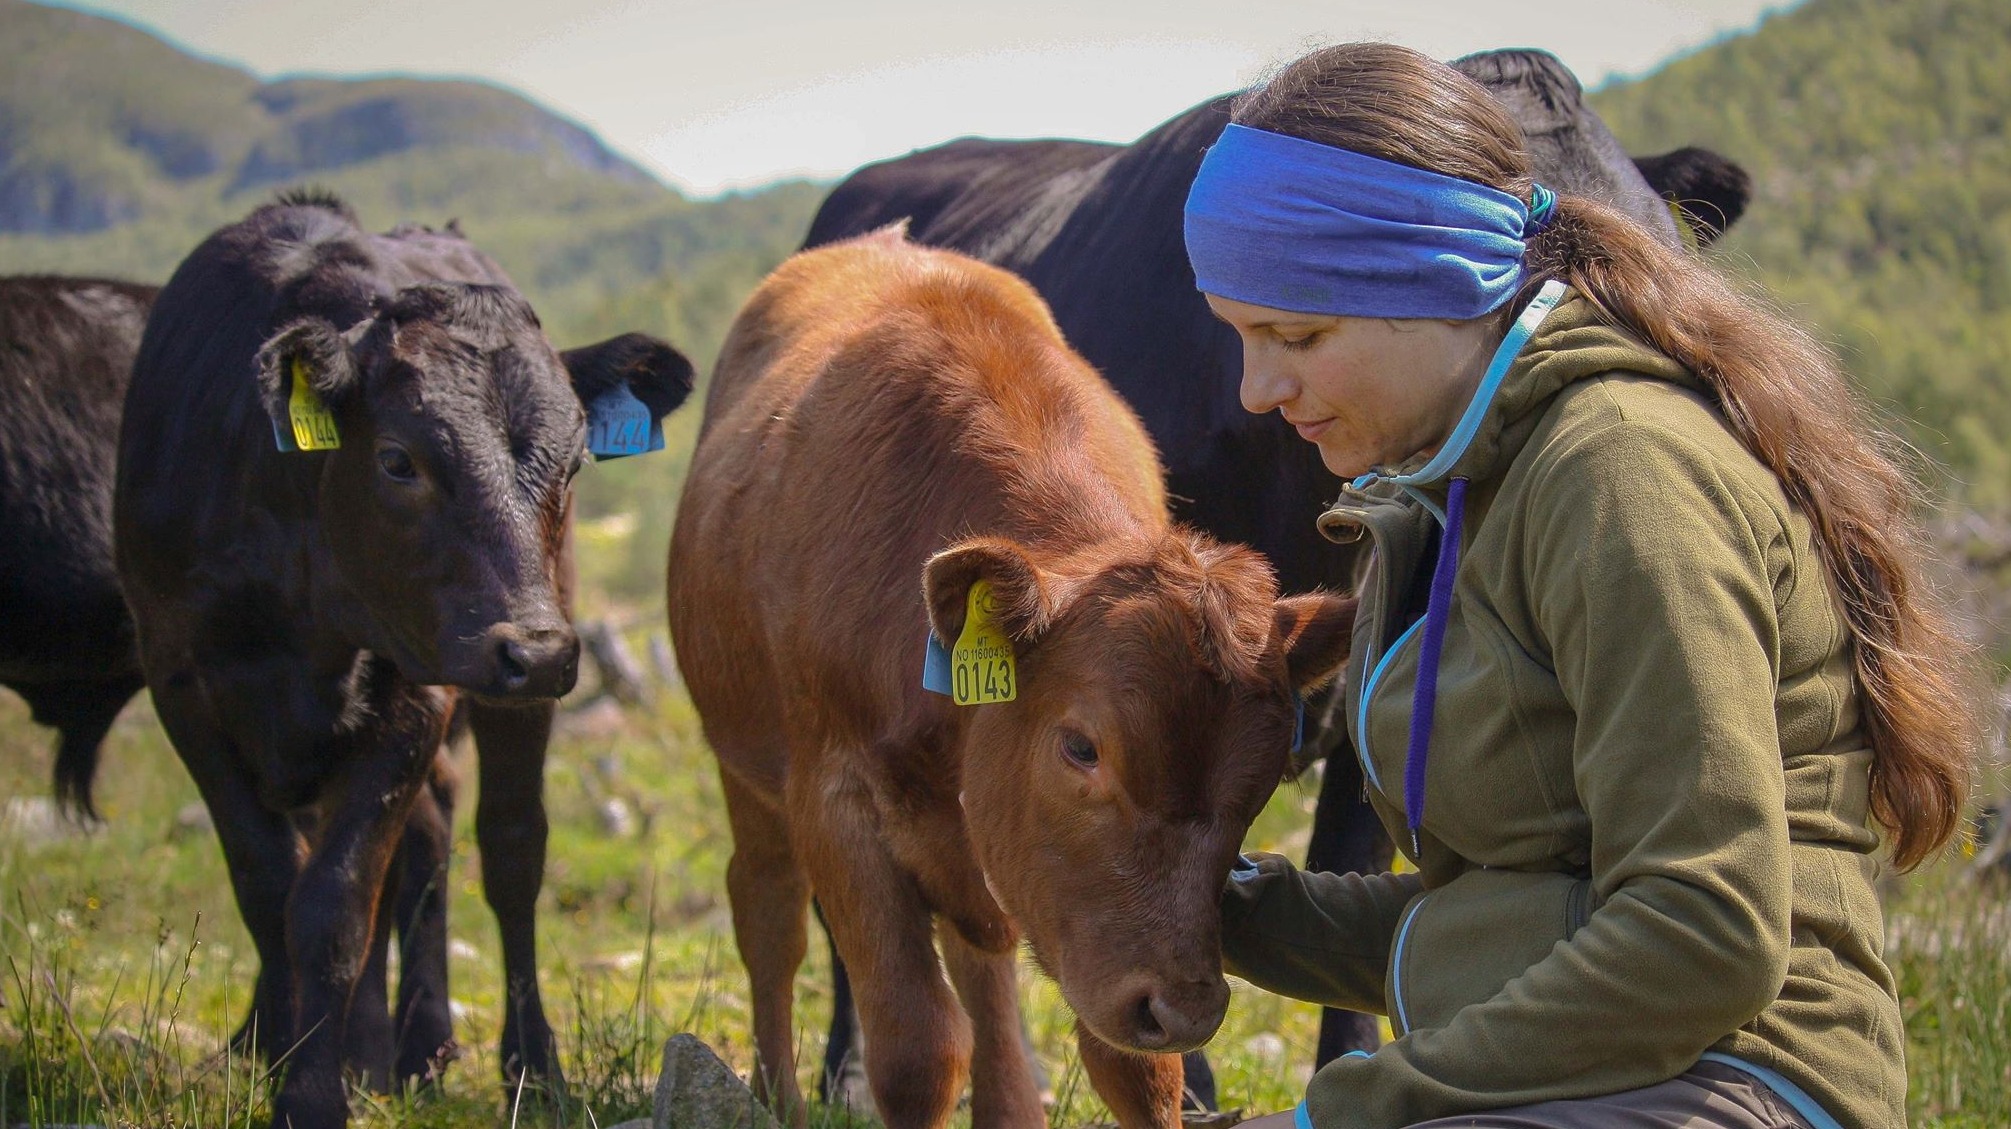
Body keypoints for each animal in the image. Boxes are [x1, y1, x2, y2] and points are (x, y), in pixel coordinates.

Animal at [119, 193, 699, 1126]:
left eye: (574, 463)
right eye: (398, 460)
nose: (534, 649)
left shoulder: (412, 688)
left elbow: (333, 902)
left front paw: (311, 1092)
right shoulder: (182, 683)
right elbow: (269, 884)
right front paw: (286, 1054)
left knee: (505, 850)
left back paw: (519, 1063)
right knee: (418, 838)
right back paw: (383, 1047)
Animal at [671, 231, 1351, 1126]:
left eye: (1266, 775)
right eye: (1081, 748)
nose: (1185, 1008)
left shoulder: (1079, 916)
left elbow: (1134, 1070)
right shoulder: (833, 800)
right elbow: (917, 1048)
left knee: (982, 974)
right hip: (744, 766)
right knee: (768, 915)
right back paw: (777, 1094)